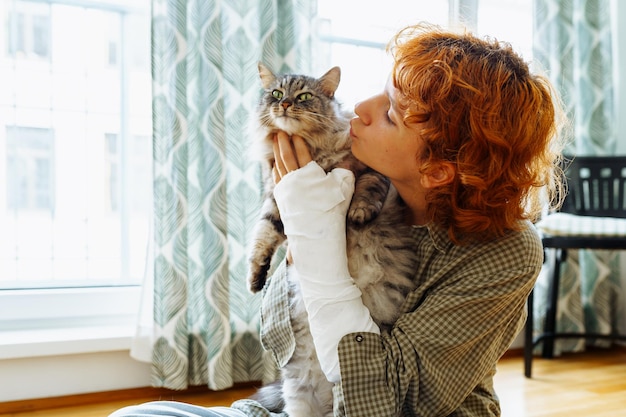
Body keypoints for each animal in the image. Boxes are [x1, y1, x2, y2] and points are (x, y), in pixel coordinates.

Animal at [246, 62, 416, 416]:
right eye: (276, 93)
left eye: (304, 96)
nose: (285, 104)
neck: (313, 148)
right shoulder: (275, 198)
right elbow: (262, 236)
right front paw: (255, 279)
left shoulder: (368, 169)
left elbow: (368, 189)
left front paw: (359, 214)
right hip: (298, 391)